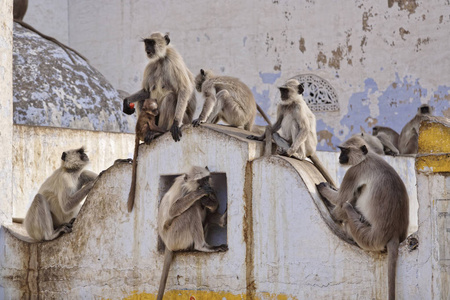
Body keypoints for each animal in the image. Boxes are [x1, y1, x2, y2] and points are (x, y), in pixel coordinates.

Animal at [157, 166, 229, 300]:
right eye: (200, 181)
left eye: (206, 178)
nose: (206, 184)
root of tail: (167, 244)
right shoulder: (181, 188)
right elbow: (172, 210)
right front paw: (199, 194)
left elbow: (211, 204)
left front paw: (211, 201)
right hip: (175, 236)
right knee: (191, 209)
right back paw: (203, 246)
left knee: (202, 208)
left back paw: (222, 220)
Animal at [316, 135, 408, 298]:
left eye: (345, 151)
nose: (340, 157)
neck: (366, 157)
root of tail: (394, 234)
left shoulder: (354, 171)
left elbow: (340, 199)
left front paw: (323, 188)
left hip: (367, 237)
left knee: (347, 206)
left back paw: (337, 214)